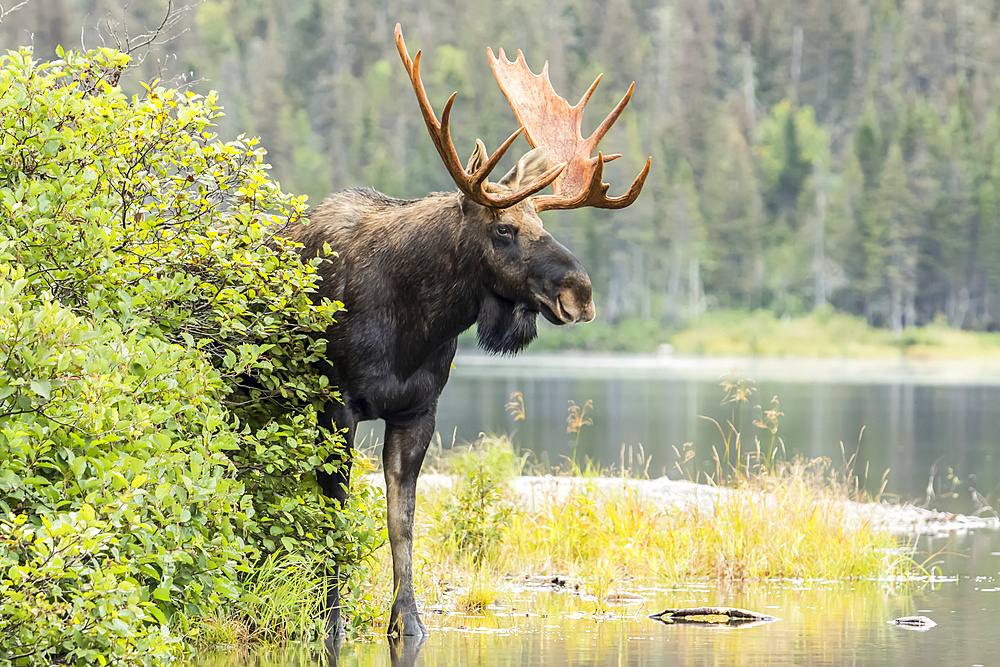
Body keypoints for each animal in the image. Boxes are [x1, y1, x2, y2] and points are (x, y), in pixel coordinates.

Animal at [278, 26, 652, 640]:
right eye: (504, 229)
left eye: (543, 223)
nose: (581, 292)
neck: (412, 324)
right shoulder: (337, 404)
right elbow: (333, 516)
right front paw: (330, 618)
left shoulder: (418, 411)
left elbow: (401, 522)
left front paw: (407, 619)